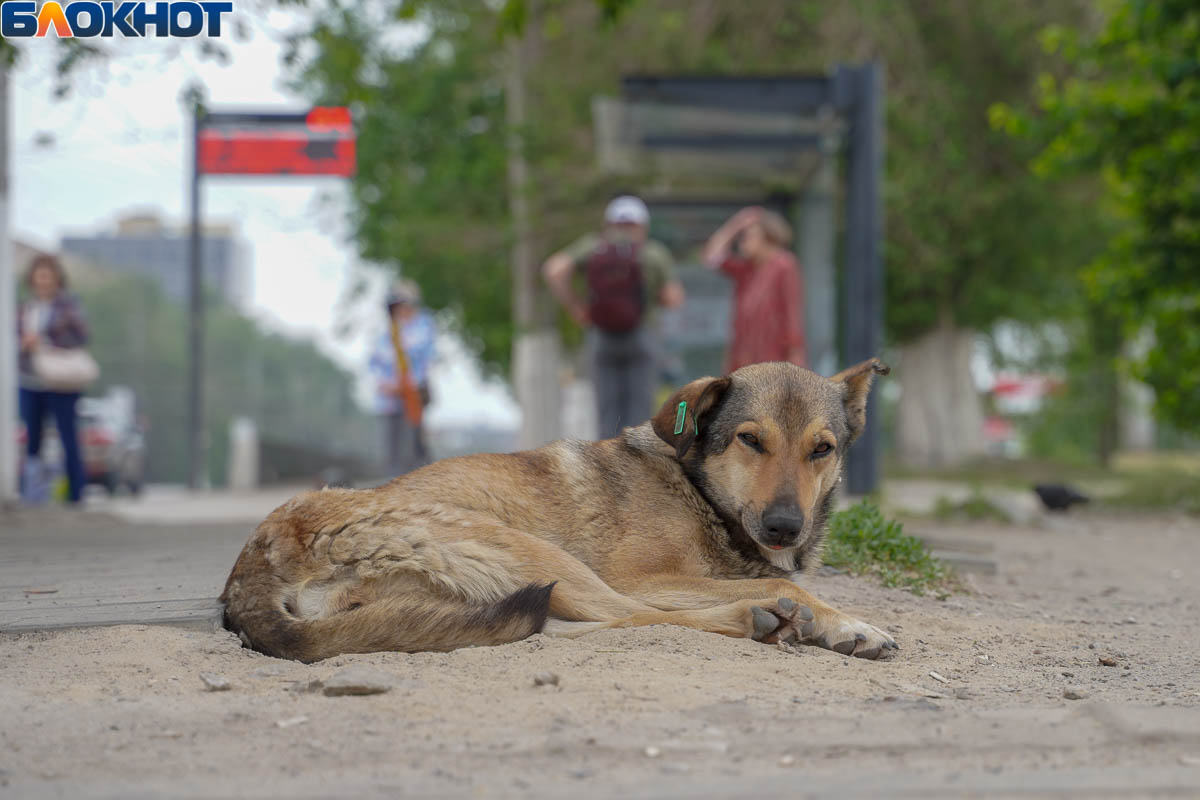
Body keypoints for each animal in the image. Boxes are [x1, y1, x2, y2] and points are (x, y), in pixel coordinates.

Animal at [223, 359, 902, 662]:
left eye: (822, 449)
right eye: (750, 440)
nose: (786, 526)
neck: (698, 489)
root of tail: (254, 564)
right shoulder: (643, 576)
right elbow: (782, 583)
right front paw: (850, 623)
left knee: (564, 622)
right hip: (542, 555)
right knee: (632, 617)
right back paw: (762, 619)